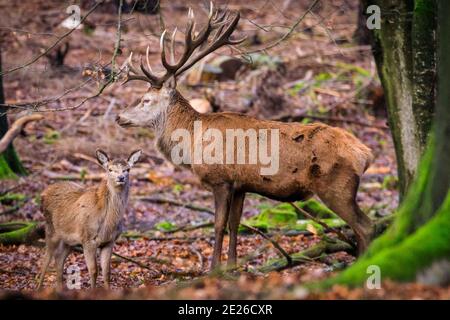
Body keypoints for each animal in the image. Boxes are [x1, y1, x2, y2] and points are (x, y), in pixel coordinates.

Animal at [38, 149, 142, 288]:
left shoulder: (109, 241)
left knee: (58, 259)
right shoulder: (88, 239)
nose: (121, 178)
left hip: (69, 240)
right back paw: (38, 287)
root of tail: (43, 193)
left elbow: (107, 271)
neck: (108, 223)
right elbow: (93, 270)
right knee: (45, 259)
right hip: (51, 229)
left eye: (127, 169)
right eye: (110, 169)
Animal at [115, 3, 372, 268]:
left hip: (337, 186)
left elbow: (218, 225)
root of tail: (366, 154)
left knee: (366, 226)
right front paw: (232, 266)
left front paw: (213, 269)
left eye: (146, 100)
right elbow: (234, 224)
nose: (119, 117)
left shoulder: (220, 179)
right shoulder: (240, 185)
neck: (192, 141)